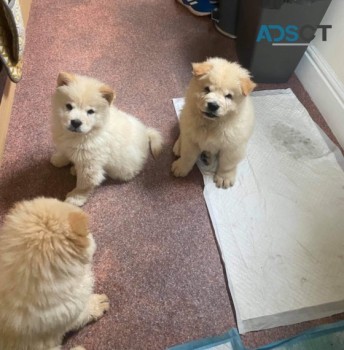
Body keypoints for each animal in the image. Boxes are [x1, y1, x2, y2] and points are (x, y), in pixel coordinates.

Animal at [51, 72, 164, 206]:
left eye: (90, 111)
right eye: (69, 106)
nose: (76, 122)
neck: (86, 134)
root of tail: (146, 134)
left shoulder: (90, 166)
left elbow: (84, 185)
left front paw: (75, 198)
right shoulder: (67, 146)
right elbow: (65, 153)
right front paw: (58, 159)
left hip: (122, 169)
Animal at [172, 57, 255, 189]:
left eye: (228, 96)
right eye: (207, 89)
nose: (213, 105)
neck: (211, 124)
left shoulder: (233, 147)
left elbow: (227, 164)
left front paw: (224, 178)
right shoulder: (192, 140)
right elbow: (187, 156)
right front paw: (181, 167)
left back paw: (207, 156)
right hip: (185, 120)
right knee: (183, 132)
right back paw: (179, 146)